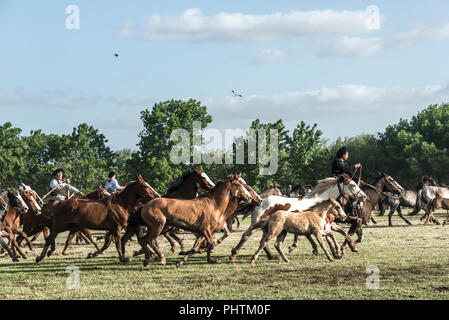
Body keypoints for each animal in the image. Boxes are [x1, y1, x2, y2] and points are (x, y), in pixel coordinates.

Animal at [229, 175, 366, 262]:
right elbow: (328, 237)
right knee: (247, 236)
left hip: (266, 226)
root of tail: (259, 200)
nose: (364, 196)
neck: (318, 202)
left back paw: (271, 256)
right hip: (257, 223)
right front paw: (339, 251)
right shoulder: (322, 225)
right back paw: (234, 255)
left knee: (263, 240)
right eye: (353, 185)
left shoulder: (326, 224)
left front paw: (343, 250)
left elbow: (337, 234)